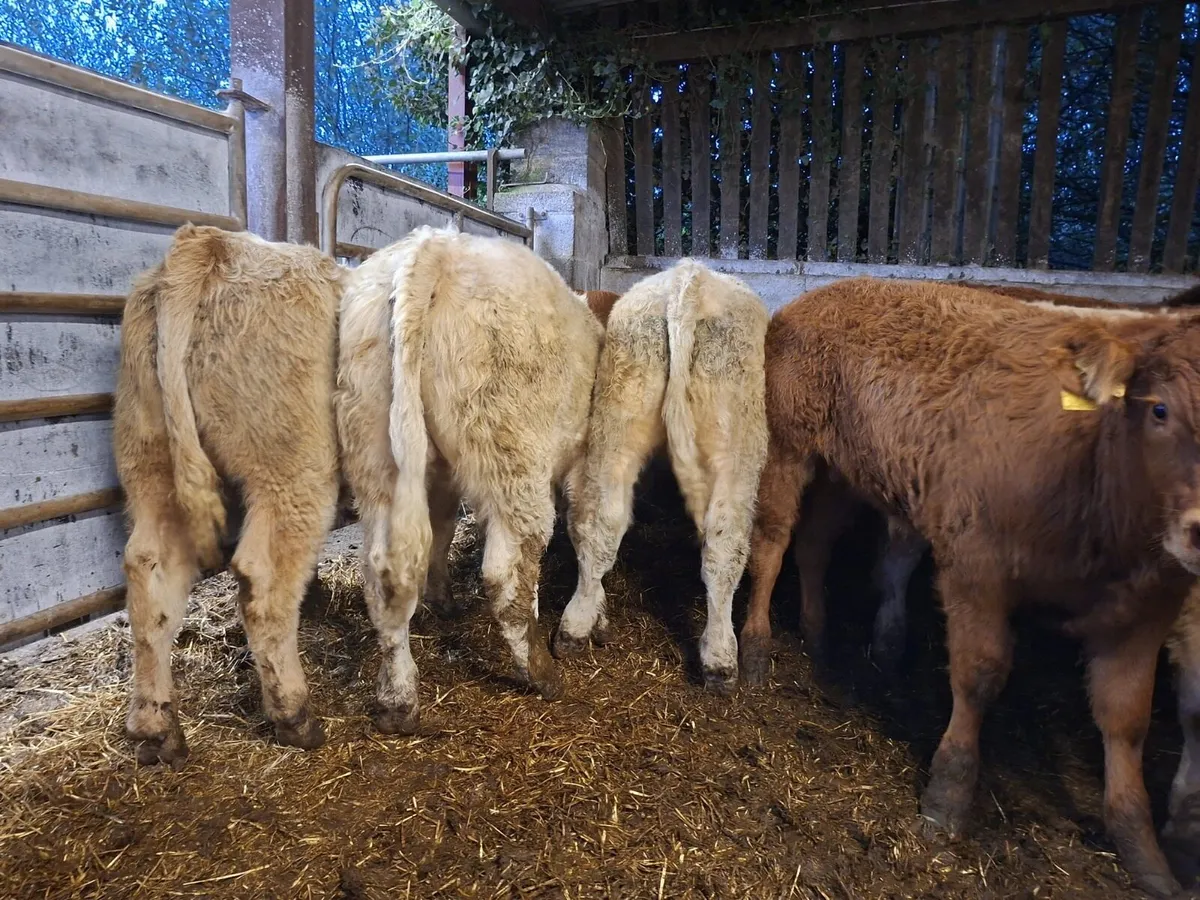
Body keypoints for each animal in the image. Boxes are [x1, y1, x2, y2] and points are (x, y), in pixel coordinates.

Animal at [115, 224, 344, 766]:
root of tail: (210, 243)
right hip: (293, 469)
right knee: (264, 582)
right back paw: (295, 717)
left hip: (148, 456)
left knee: (149, 570)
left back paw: (157, 728)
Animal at [334, 226, 602, 734]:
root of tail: (436, 248)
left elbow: (441, 530)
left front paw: (442, 600)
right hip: (514, 458)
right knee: (506, 571)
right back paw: (541, 673)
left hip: (377, 452)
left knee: (386, 574)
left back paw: (398, 701)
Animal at [553, 261, 769, 692]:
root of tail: (689, 278)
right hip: (737, 439)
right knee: (727, 542)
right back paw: (720, 659)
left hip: (620, 412)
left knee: (602, 521)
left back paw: (576, 625)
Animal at [741, 276, 1200, 895]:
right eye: (1159, 409)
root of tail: (825, 292)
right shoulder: (976, 569)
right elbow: (979, 676)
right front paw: (948, 797)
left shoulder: (1147, 611)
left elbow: (1128, 720)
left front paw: (1145, 853)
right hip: (789, 445)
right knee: (772, 542)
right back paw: (755, 647)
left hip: (845, 469)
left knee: (815, 543)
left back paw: (818, 634)